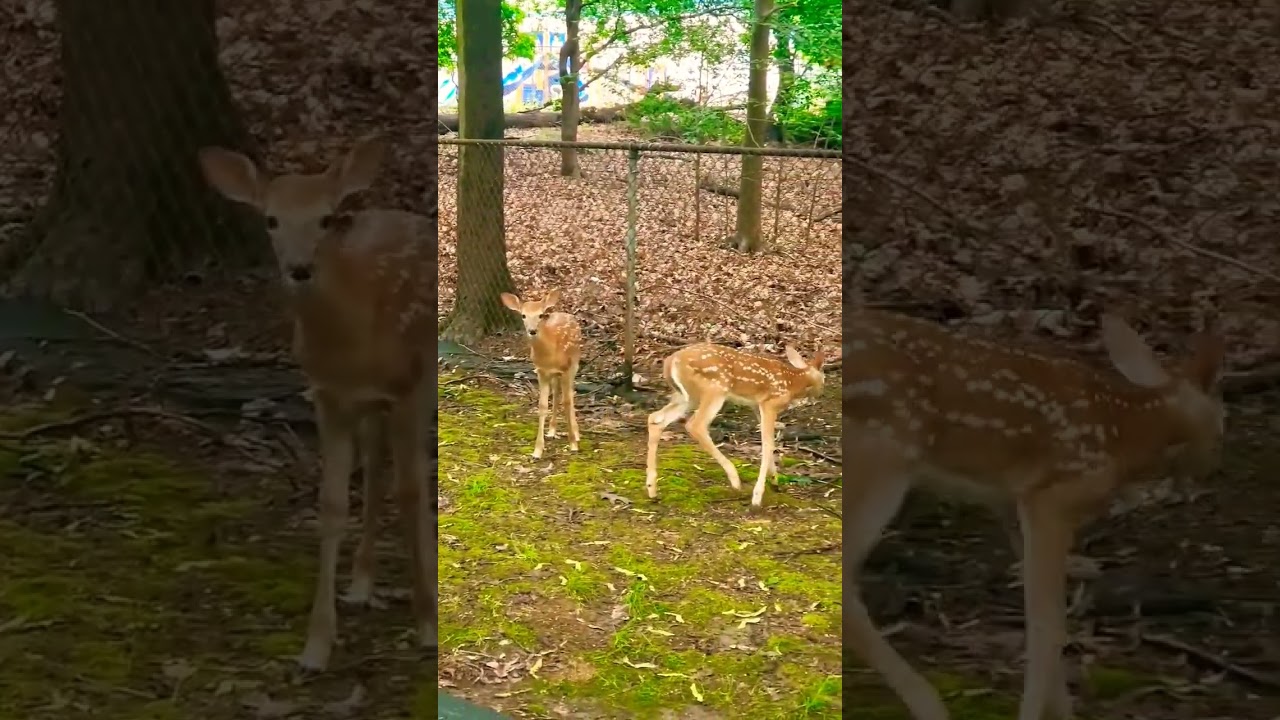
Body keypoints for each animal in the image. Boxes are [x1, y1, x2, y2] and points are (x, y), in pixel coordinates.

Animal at [197, 134, 436, 672]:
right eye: (270, 219)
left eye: (326, 218)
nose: (300, 269)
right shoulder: (329, 396)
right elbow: (331, 504)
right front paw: (316, 646)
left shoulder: (407, 387)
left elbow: (412, 493)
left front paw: (428, 624)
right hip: (367, 409)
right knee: (374, 468)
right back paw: (361, 584)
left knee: (408, 472)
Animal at [500, 290, 582, 459]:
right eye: (523, 315)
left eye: (540, 315)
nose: (532, 331)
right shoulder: (541, 372)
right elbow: (543, 405)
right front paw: (537, 450)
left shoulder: (566, 369)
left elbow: (567, 402)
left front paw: (573, 444)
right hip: (554, 375)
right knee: (557, 394)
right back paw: (552, 430)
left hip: (575, 362)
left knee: (570, 394)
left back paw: (576, 434)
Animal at [646, 343, 826, 509]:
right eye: (824, 377)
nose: (820, 394)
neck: (793, 382)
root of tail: (670, 361)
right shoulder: (770, 403)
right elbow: (767, 444)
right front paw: (757, 496)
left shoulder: (756, 405)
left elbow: (769, 442)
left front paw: (775, 481)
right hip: (714, 390)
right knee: (695, 425)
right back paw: (735, 479)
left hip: (686, 396)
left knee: (655, 419)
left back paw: (652, 489)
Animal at [844, 306, 1226, 720]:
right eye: (1223, 423)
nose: (1210, 470)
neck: (1124, 433)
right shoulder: (1053, 499)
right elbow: (1048, 625)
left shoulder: (1013, 504)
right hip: (882, 458)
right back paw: (930, 706)